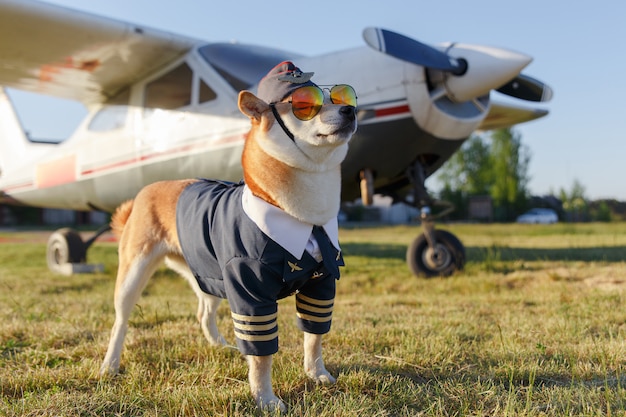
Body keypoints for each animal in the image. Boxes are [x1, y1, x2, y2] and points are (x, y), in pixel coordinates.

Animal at [100, 60, 358, 412]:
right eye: (305, 106)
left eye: (342, 97)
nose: (350, 110)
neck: (304, 217)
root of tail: (145, 190)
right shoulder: (250, 292)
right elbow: (262, 357)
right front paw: (265, 399)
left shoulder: (321, 284)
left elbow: (314, 336)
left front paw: (316, 373)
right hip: (134, 274)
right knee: (120, 322)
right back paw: (110, 365)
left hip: (208, 276)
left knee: (203, 313)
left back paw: (221, 346)